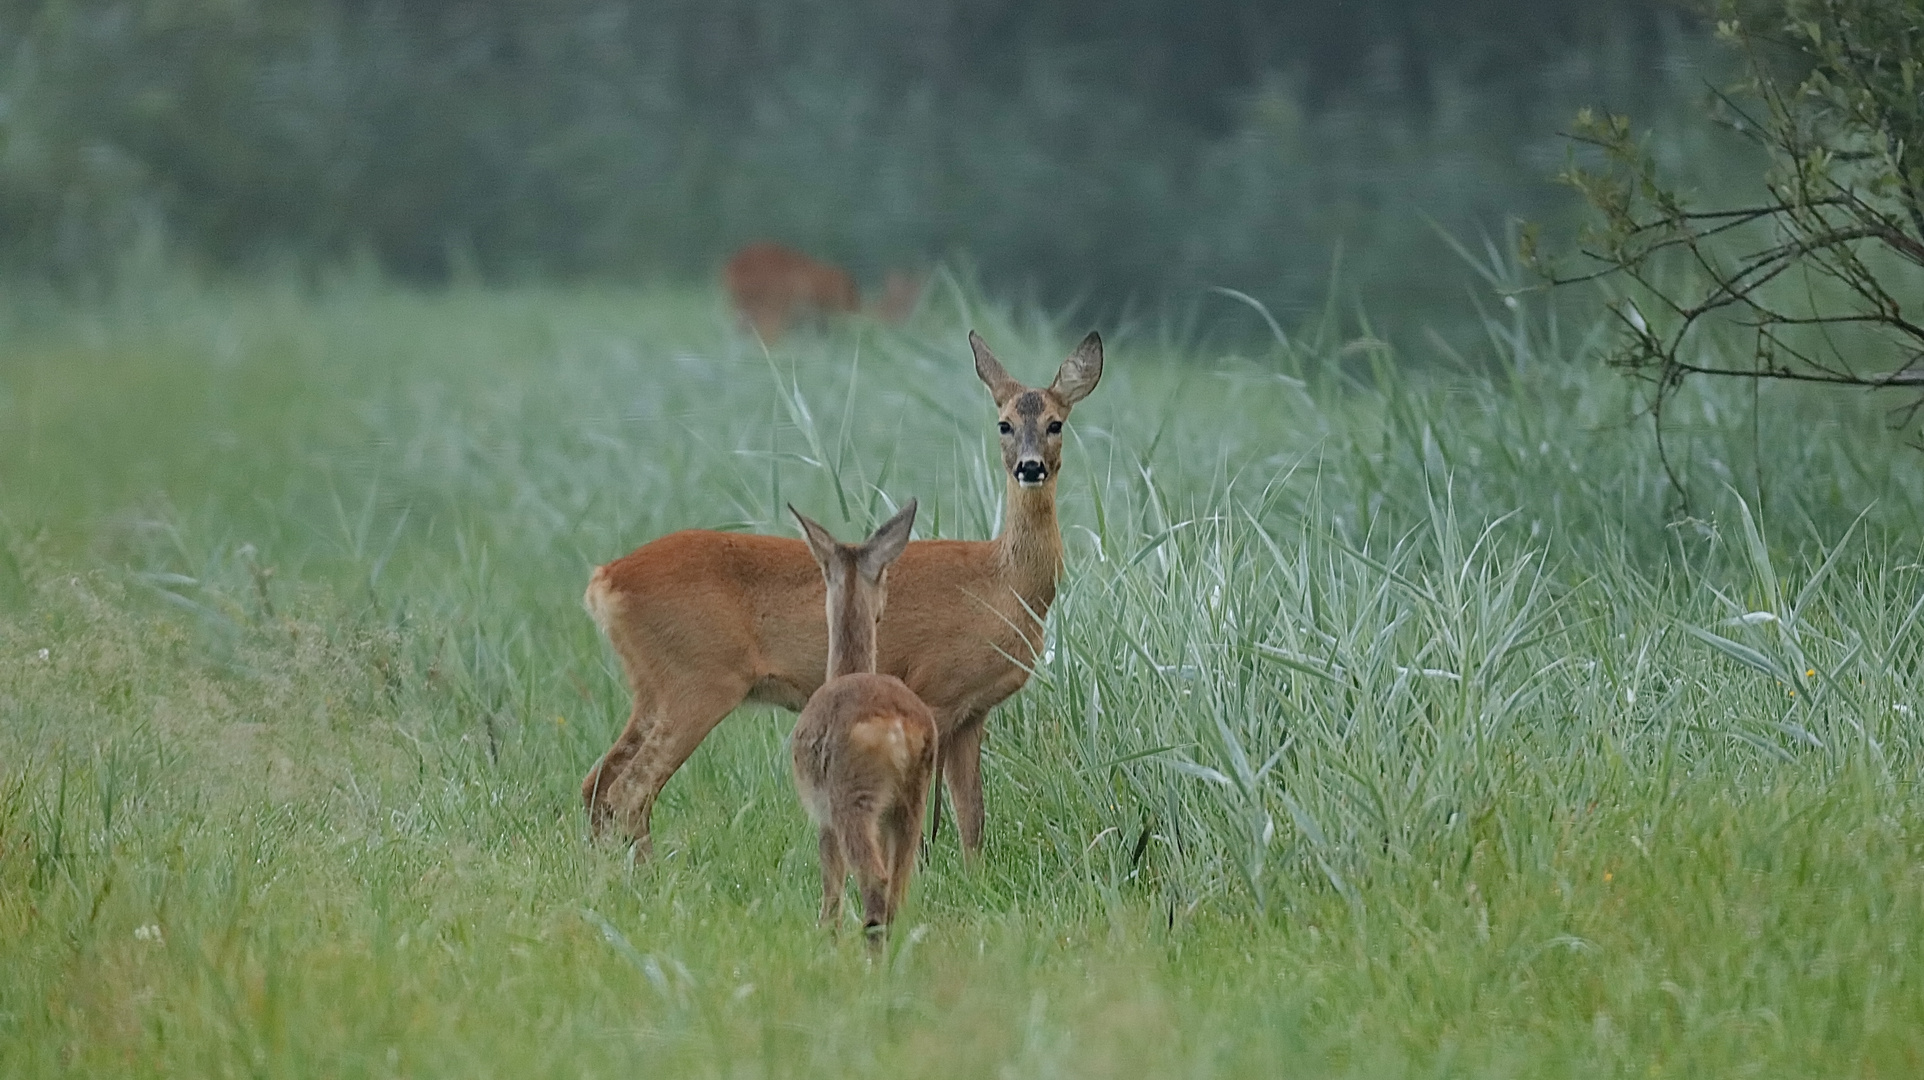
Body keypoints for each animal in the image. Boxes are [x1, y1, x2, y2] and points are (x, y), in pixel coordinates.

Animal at [577, 329, 1108, 858]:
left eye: (1056, 423)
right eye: (1004, 424)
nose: (1030, 467)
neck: (1005, 585)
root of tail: (604, 578)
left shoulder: (972, 712)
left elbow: (972, 817)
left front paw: (969, 870)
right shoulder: (934, 688)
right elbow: (930, 811)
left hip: (653, 686)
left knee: (598, 783)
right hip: (698, 679)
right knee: (629, 790)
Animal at [781, 500, 931, 939]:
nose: (882, 611)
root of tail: (898, 727)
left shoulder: (822, 814)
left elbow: (830, 883)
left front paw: (826, 937)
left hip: (852, 797)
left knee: (873, 878)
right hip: (911, 799)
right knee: (900, 884)